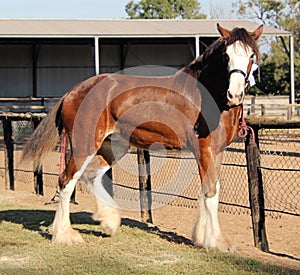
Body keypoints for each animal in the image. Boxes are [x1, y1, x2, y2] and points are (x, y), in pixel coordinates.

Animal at [21, 24, 262, 252]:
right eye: (226, 55)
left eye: (252, 55)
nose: (235, 95)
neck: (208, 97)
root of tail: (72, 92)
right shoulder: (205, 150)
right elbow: (210, 192)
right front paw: (217, 242)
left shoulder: (217, 151)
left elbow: (212, 191)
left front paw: (204, 238)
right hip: (85, 145)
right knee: (66, 181)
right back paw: (65, 235)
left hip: (113, 147)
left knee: (90, 176)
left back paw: (109, 222)